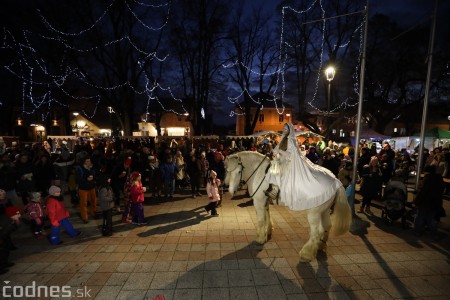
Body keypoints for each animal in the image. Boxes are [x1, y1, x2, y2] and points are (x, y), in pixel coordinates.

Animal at [224, 151, 352, 262]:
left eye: (239, 171)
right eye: (228, 171)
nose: (231, 190)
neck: (260, 173)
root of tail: (335, 180)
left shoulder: (259, 202)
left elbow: (261, 220)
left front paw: (260, 239)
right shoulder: (265, 201)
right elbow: (267, 217)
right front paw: (268, 232)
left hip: (314, 213)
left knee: (316, 232)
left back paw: (306, 254)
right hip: (324, 210)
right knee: (327, 226)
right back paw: (320, 246)